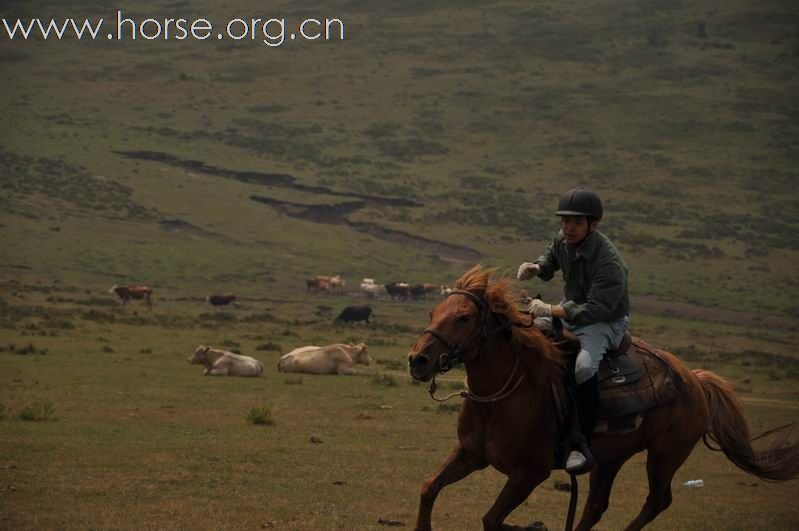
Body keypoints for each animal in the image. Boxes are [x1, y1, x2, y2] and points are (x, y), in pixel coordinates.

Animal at [410, 266, 796, 531]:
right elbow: (429, 487)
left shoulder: (529, 473)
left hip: (665, 455)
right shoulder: (471, 455)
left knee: (657, 501)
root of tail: (695, 380)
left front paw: (532, 526)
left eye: (463, 318)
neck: (504, 395)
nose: (418, 361)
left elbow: (491, 519)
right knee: (596, 505)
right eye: (432, 314)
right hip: (612, 457)